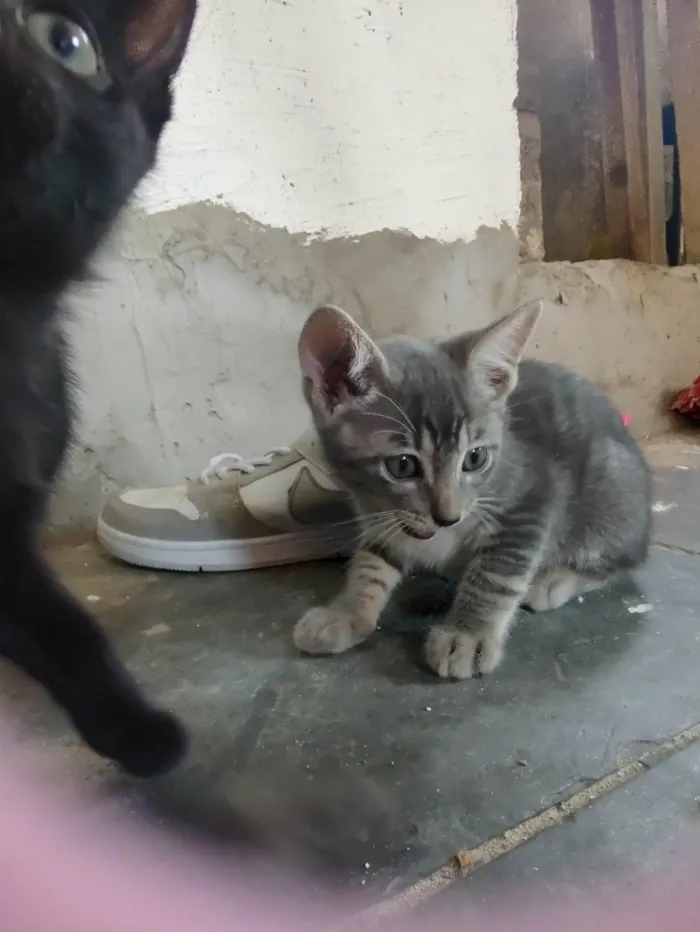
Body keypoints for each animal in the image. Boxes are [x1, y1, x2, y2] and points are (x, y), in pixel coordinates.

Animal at [290, 304, 652, 676]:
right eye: (402, 466)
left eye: (475, 458)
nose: (448, 517)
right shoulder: (383, 518)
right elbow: (370, 562)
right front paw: (345, 612)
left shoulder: (533, 499)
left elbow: (496, 572)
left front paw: (467, 635)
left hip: (612, 489)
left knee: (623, 560)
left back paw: (555, 580)